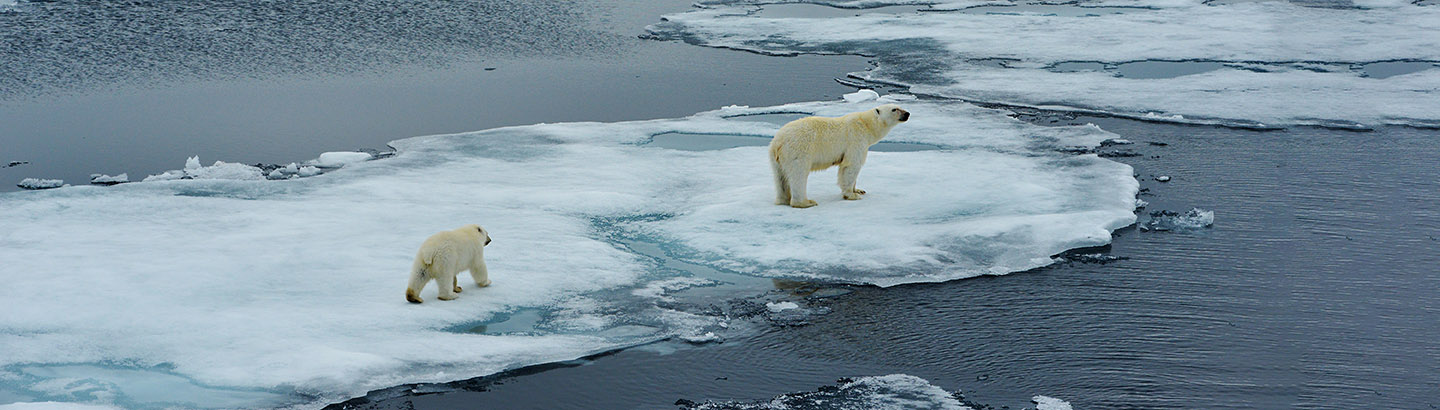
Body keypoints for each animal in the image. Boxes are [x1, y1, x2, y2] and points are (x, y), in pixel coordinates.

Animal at [769, 104, 910, 208]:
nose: (907, 113)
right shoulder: (856, 139)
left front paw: (858, 190)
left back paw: (783, 200)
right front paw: (852, 195)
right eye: (894, 109)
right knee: (798, 174)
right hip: (798, 150)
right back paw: (806, 202)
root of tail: (778, 142)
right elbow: (851, 166)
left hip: (777, 158)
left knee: (780, 177)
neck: (866, 124)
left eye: (899, 105)